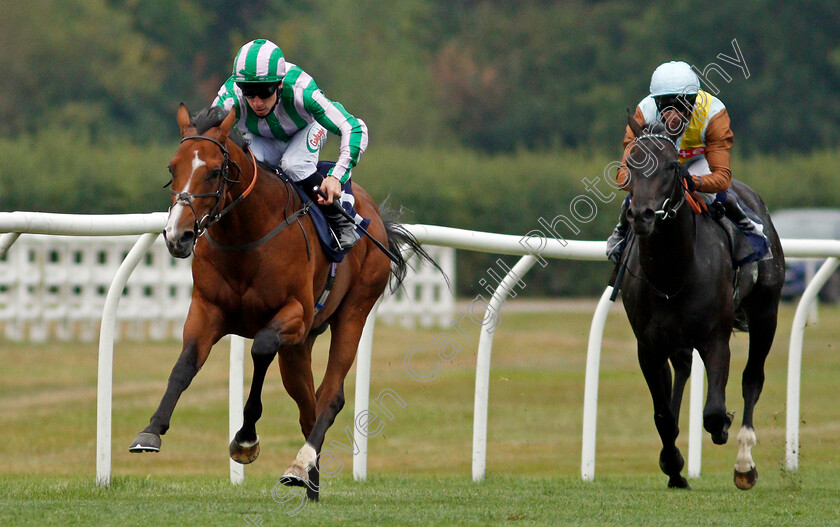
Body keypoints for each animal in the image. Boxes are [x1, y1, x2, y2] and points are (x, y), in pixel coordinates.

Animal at [130, 105, 440, 502]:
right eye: (173, 168)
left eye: (214, 170)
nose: (177, 236)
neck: (246, 237)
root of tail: (374, 215)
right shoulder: (207, 310)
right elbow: (184, 365)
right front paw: (151, 431)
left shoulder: (294, 314)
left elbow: (261, 348)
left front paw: (245, 440)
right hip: (299, 346)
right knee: (308, 403)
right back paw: (310, 482)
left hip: (353, 311)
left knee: (330, 396)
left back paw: (300, 465)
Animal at [616, 115, 788, 490]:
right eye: (631, 164)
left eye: (671, 166)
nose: (641, 215)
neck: (673, 272)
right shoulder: (647, 347)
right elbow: (663, 414)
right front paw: (673, 464)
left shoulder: (715, 339)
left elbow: (713, 411)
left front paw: (723, 427)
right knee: (682, 369)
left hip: (766, 313)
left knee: (753, 378)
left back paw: (744, 463)